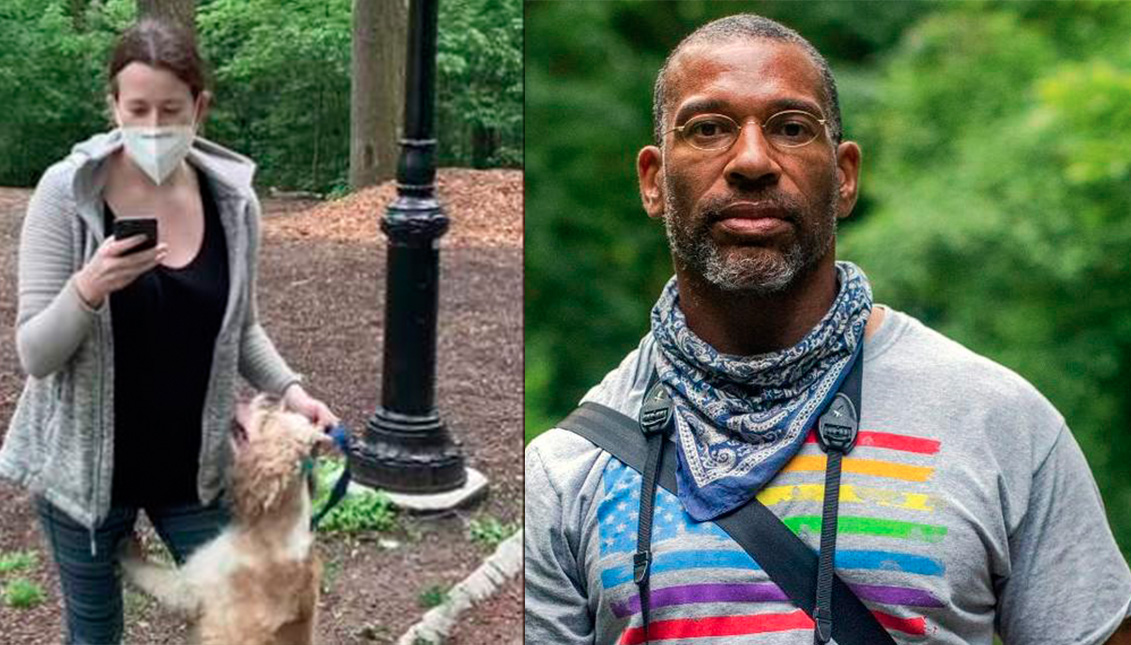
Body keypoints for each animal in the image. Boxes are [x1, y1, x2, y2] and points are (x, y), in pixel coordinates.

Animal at [119, 396, 332, 642]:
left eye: (267, 417)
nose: (264, 397)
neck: (272, 529)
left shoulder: (191, 586)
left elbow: (149, 573)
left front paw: (127, 547)